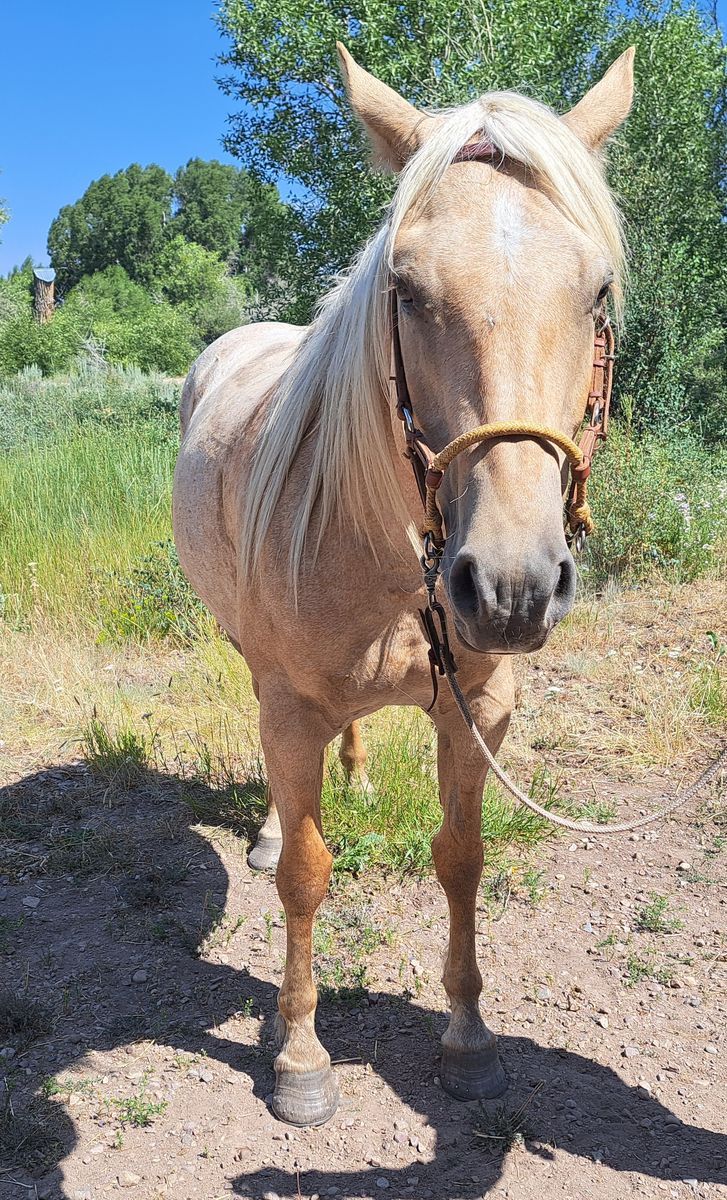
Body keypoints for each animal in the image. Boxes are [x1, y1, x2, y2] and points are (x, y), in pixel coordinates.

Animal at [172, 42, 635, 1127]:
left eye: (595, 290)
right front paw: (300, 1059)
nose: (509, 586)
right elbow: (307, 875)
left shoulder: (482, 707)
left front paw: (468, 1040)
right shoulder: (289, 707)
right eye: (407, 288)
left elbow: (461, 859)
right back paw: (268, 829)